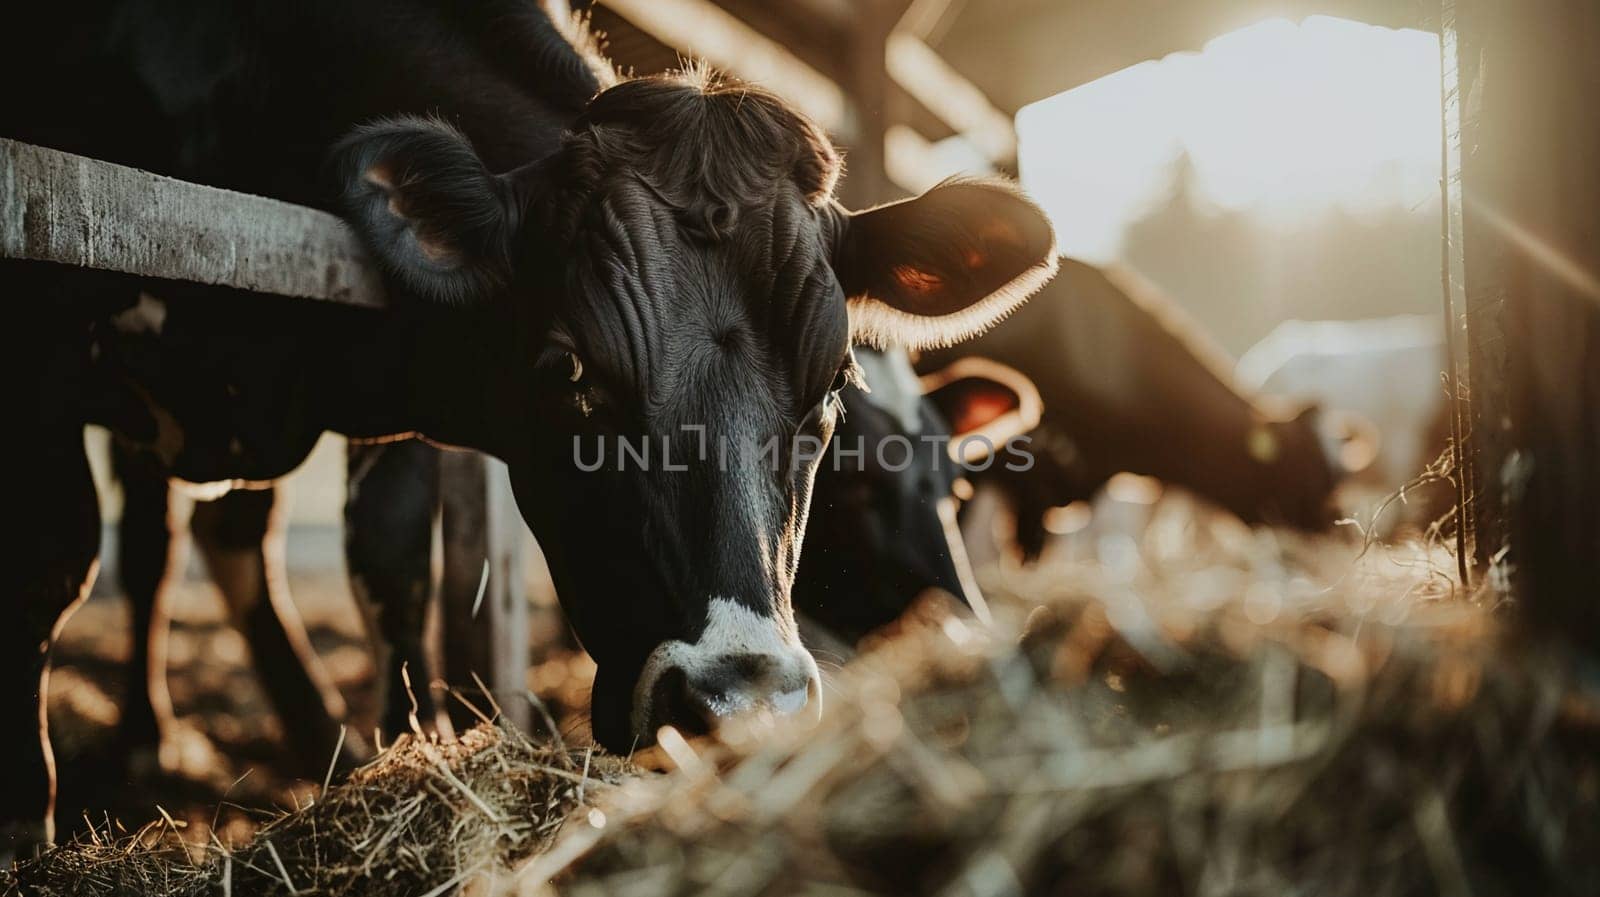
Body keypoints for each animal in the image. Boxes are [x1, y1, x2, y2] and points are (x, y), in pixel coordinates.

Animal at [3, 0, 1062, 844]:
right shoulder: (45, 299)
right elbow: (52, 554)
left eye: (832, 386)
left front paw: (403, 745)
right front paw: (26, 819)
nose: (743, 701)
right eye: (569, 371)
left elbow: (393, 559)